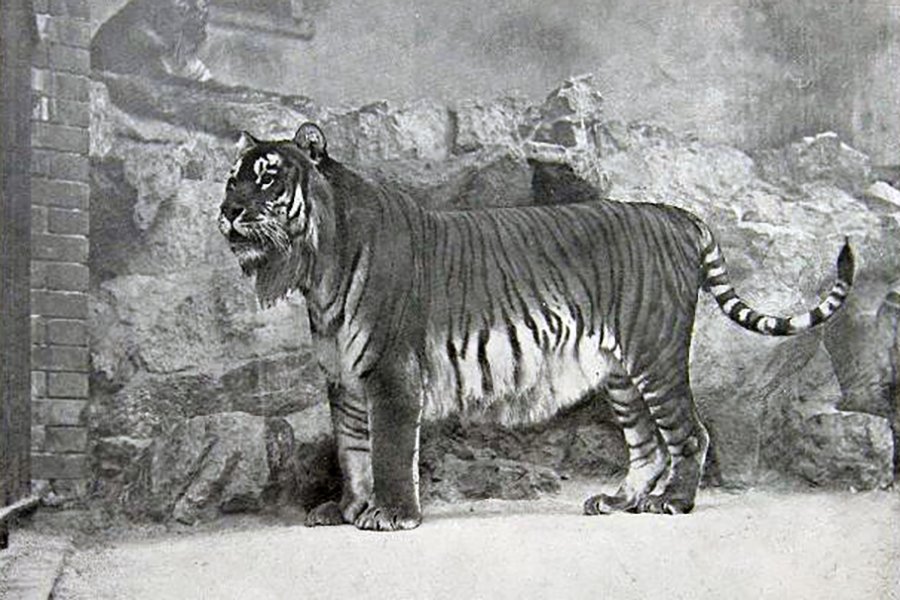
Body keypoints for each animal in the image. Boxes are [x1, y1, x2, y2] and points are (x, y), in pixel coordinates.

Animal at [218, 122, 855, 531]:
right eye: (231, 179)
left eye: (268, 178)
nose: (227, 211)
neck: (317, 267)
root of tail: (677, 215)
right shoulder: (344, 378)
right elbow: (352, 449)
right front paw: (347, 509)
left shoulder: (390, 374)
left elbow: (390, 450)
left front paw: (392, 515)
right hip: (621, 373)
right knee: (647, 444)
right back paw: (617, 501)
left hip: (656, 355)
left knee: (690, 434)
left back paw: (671, 503)